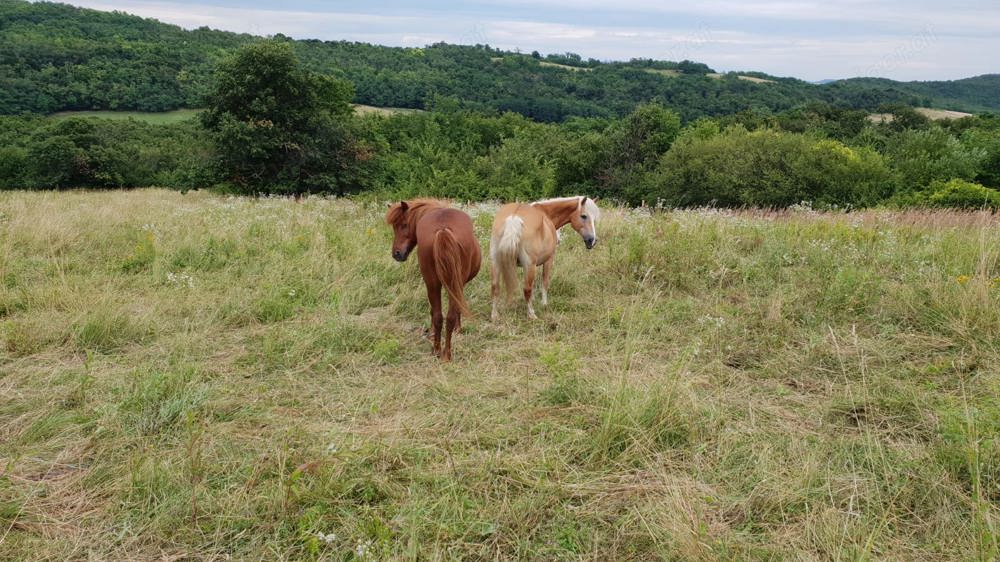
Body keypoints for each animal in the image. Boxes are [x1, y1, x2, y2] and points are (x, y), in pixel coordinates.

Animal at [384, 199, 482, 360]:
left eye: (403, 225)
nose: (396, 253)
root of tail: (442, 229)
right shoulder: (457, 285)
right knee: (445, 317)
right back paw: (444, 353)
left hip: (433, 284)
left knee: (440, 316)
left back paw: (440, 352)